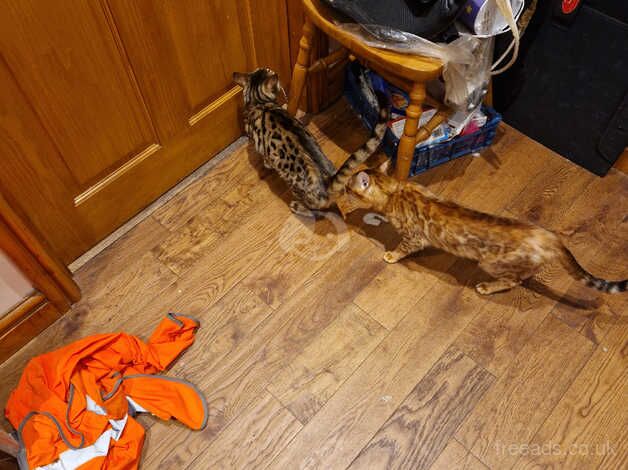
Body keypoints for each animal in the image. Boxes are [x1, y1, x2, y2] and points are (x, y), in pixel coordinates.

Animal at [231, 66, 388, 217]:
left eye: (269, 69)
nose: (275, 72)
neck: (258, 102)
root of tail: (328, 183)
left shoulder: (259, 144)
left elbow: (265, 157)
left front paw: (266, 164)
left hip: (297, 190)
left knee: (316, 211)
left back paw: (298, 207)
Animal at [346, 160, 624, 296]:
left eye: (349, 187)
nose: (343, 189)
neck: (395, 191)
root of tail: (548, 236)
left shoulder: (414, 237)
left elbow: (403, 247)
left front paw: (391, 255)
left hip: (491, 263)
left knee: (513, 281)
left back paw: (487, 288)